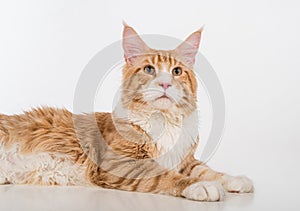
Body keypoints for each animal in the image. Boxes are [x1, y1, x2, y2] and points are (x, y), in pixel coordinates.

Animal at [0, 23, 253, 201]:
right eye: (149, 69)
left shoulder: (185, 160)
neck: (163, 120)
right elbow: (166, 175)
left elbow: (206, 169)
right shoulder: (120, 161)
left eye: (177, 71)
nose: (165, 84)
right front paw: (200, 186)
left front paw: (234, 180)